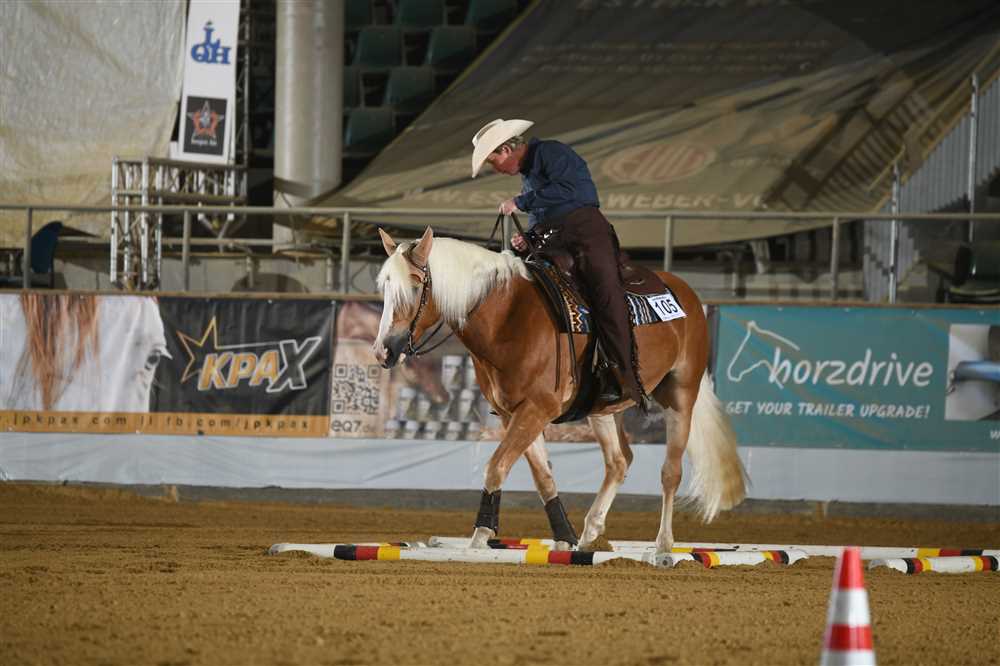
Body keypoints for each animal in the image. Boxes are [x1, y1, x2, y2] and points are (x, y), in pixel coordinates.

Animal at [372, 227, 747, 555]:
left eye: (415, 284)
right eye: (384, 288)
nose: (382, 351)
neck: (508, 317)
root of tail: (685, 291)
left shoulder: (538, 407)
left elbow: (496, 465)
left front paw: (480, 535)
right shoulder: (514, 413)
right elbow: (543, 477)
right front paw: (564, 537)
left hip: (681, 393)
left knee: (671, 472)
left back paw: (664, 544)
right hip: (604, 409)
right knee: (619, 461)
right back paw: (591, 531)